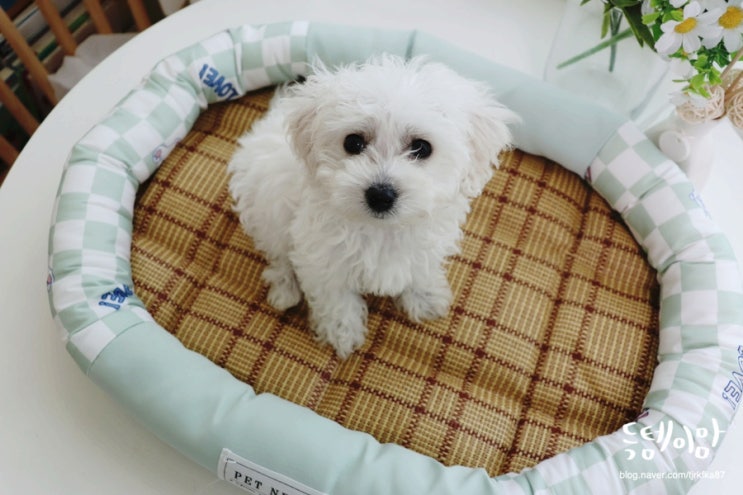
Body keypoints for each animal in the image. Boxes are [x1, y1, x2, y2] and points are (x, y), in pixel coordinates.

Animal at [227, 55, 518, 358]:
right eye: (353, 142)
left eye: (422, 148)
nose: (380, 195)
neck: (382, 229)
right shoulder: (322, 256)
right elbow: (335, 296)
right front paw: (342, 332)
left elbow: (420, 268)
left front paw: (426, 297)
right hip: (265, 206)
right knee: (278, 252)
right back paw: (284, 289)